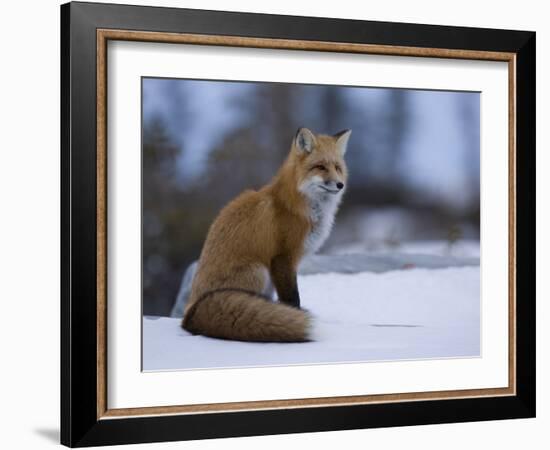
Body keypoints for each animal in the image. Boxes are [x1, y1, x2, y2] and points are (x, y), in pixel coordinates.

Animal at [183, 128, 352, 342]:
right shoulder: (283, 258)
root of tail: (190, 312)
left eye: (337, 167)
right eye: (320, 167)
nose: (340, 185)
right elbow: (291, 298)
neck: (299, 206)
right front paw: (295, 317)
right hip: (259, 272)